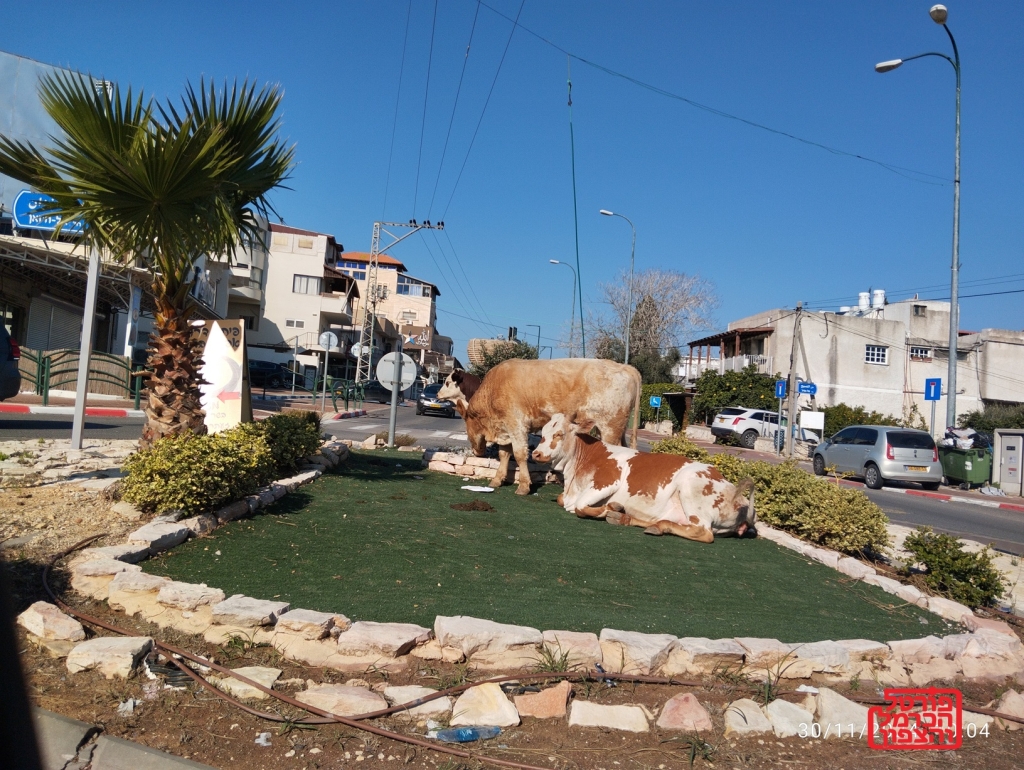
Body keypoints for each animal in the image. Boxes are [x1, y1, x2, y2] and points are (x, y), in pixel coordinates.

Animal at [438, 360, 638, 493]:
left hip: (610, 428)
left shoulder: (517, 425)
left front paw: (524, 485)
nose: (476, 451)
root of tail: (626, 367)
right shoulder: (505, 428)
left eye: (447, 382)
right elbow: (504, 454)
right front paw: (497, 480)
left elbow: (519, 454)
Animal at [532, 415, 757, 540]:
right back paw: (628, 519)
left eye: (559, 434)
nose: (536, 453)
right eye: (542, 432)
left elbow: (579, 506)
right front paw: (612, 510)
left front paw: (607, 508)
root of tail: (738, 496)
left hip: (691, 490)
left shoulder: (608, 480)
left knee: (703, 532)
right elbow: (562, 499)